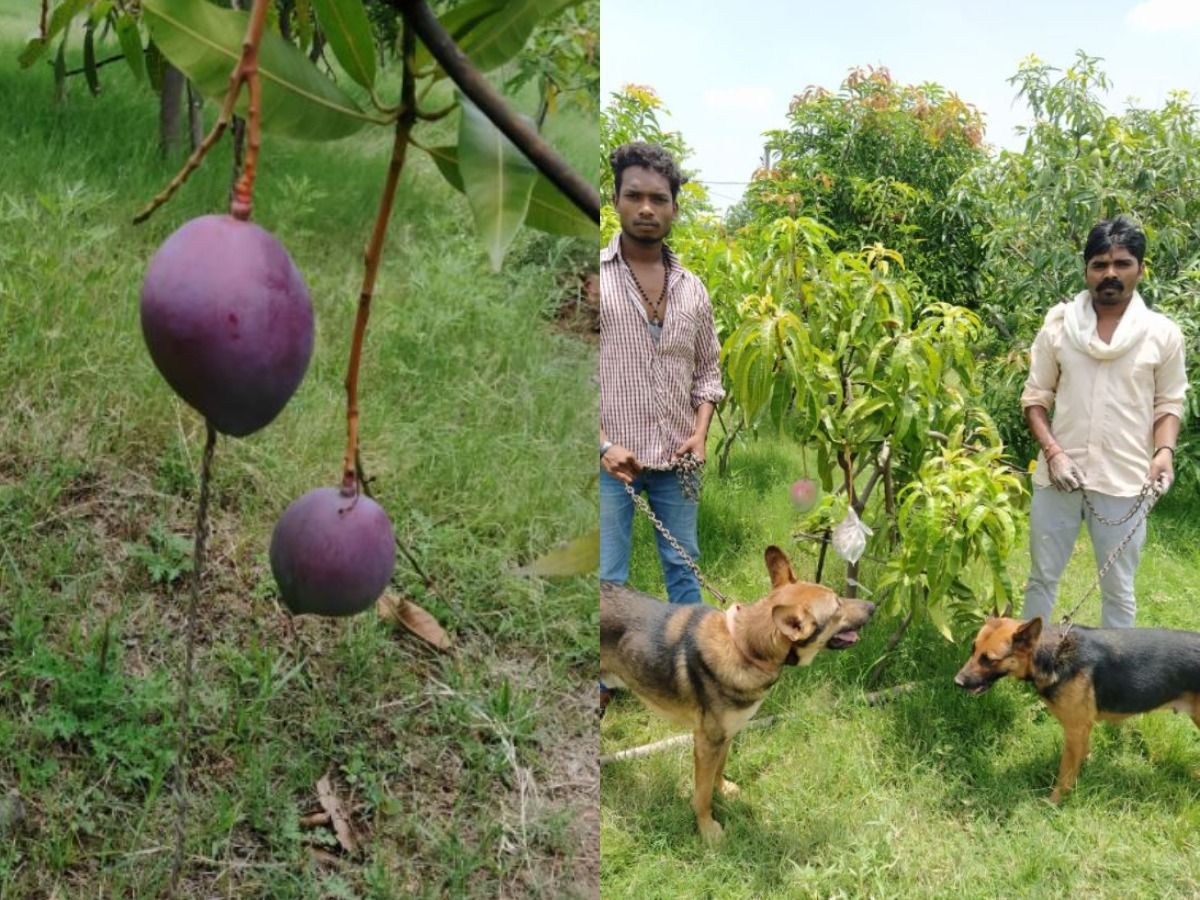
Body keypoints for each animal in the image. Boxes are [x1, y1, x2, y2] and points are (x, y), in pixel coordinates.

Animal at [597, 542, 873, 844]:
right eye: (837, 607)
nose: (873, 606)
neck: (745, 648)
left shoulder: (726, 734)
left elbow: (718, 769)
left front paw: (723, 789)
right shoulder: (706, 742)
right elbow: (702, 794)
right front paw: (708, 829)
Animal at [955, 614, 1200, 801]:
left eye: (989, 659)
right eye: (973, 649)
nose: (957, 682)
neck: (1054, 653)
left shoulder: (1075, 729)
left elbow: (1065, 774)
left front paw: (1054, 803)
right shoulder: (1083, 729)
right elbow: (1082, 757)